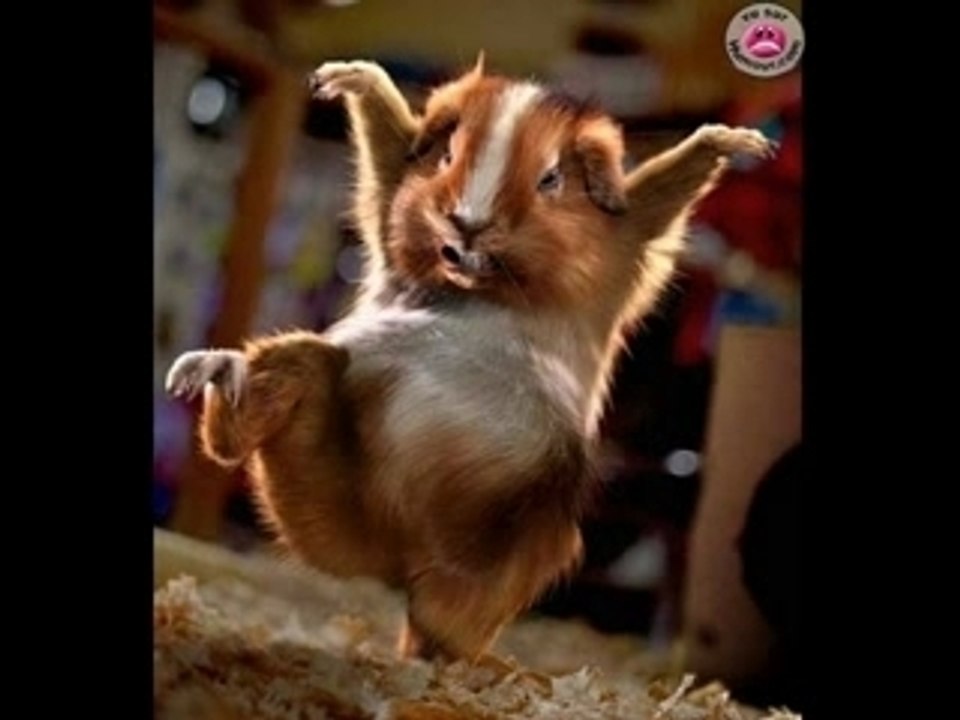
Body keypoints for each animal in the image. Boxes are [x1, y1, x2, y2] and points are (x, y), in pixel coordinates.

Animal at [166, 55, 775, 664]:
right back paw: (208, 371)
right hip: (313, 435)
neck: (484, 290)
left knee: (444, 629)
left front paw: (741, 142)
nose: (466, 223)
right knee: (234, 437)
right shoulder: (391, 218)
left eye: (551, 179)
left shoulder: (628, 239)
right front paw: (342, 78)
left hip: (500, 558)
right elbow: (385, 157)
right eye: (447, 156)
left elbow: (664, 189)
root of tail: (399, 557)